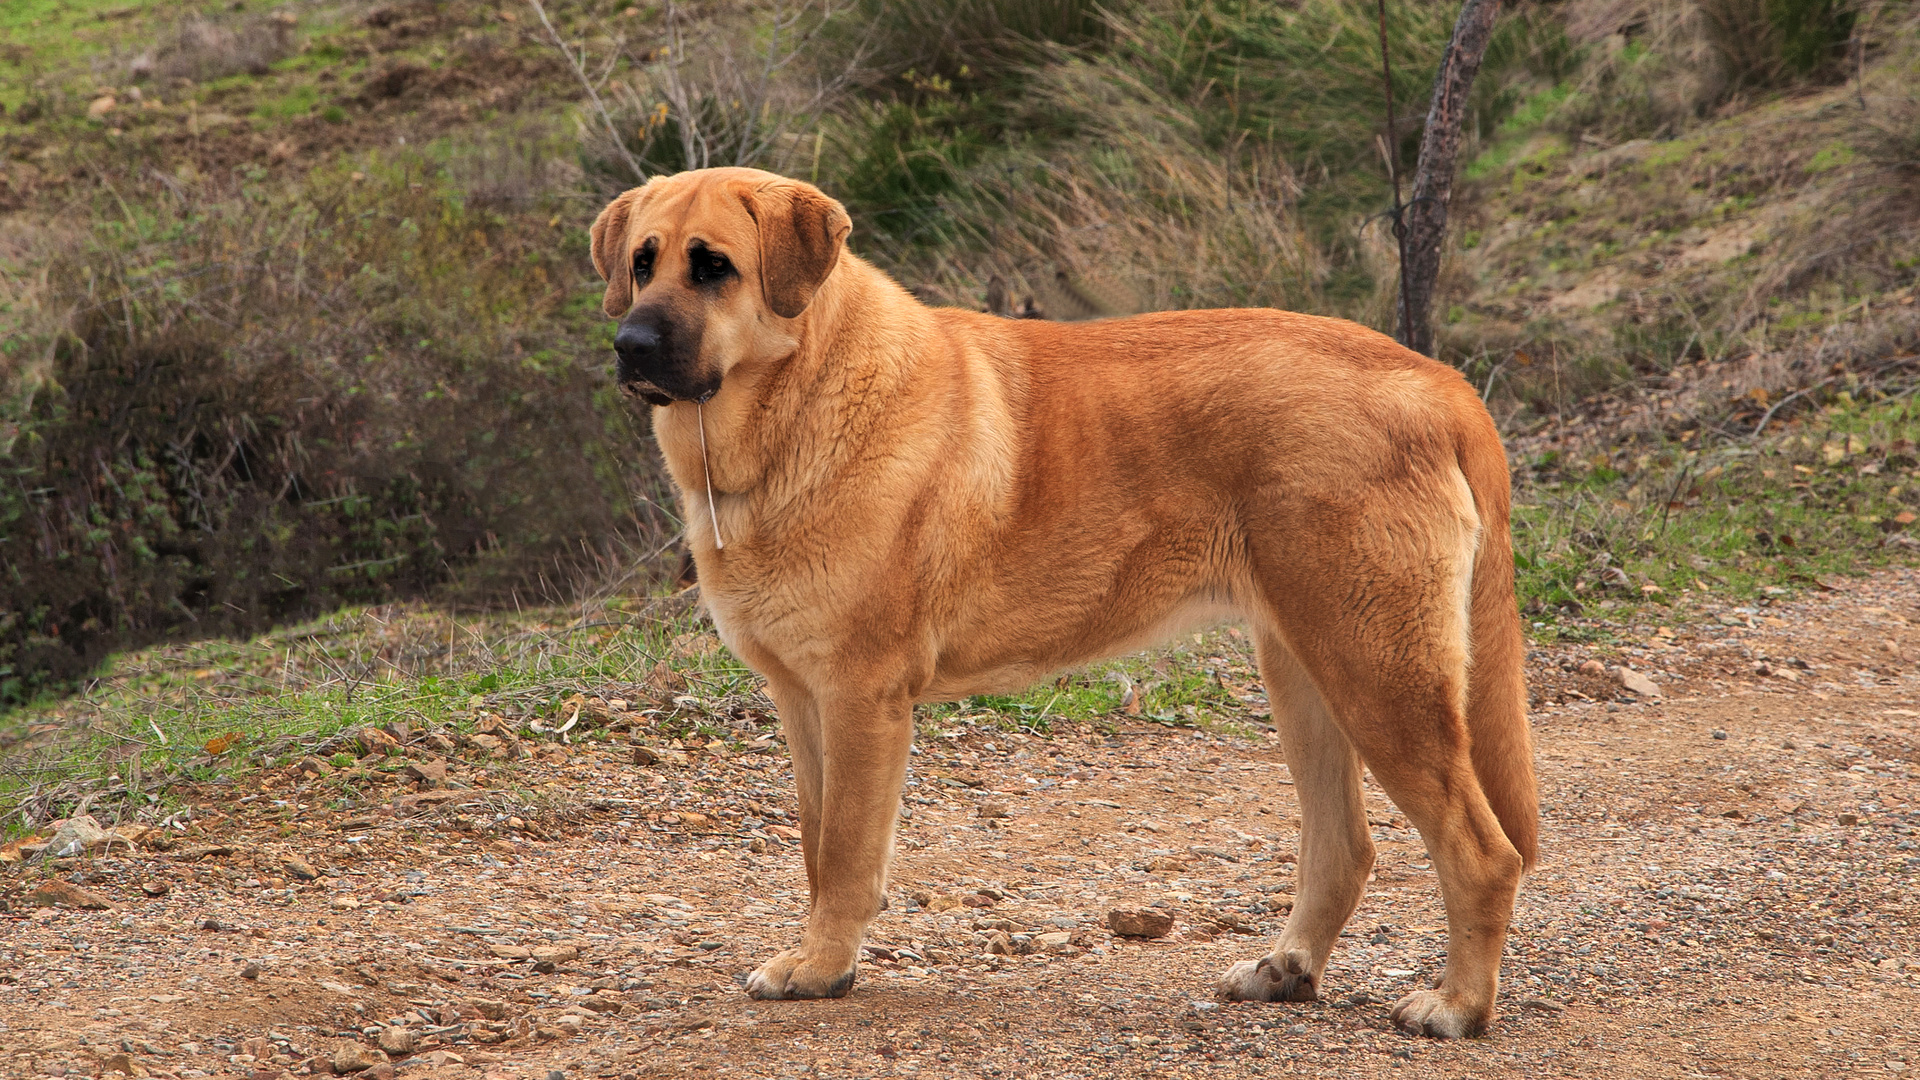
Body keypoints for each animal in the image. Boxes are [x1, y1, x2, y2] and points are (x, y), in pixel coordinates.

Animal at [591, 164, 1536, 1030]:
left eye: (714, 267)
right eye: (643, 261)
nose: (630, 345)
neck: (796, 401)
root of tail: (1436, 380)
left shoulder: (860, 699)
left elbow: (848, 855)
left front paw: (821, 967)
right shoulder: (804, 701)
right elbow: (818, 850)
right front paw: (824, 959)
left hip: (1379, 676)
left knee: (1482, 852)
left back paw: (1458, 1006)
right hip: (1305, 673)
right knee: (1343, 849)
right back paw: (1284, 969)